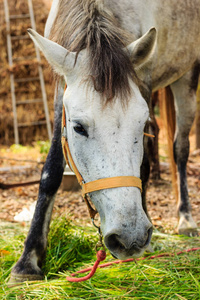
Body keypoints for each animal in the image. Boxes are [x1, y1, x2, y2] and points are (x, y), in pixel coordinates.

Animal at [10, 0, 198, 282]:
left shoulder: (144, 80)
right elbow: (51, 171)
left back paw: (185, 219)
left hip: (187, 79)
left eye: (141, 123)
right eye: (78, 128)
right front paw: (27, 262)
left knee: (180, 150)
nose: (130, 237)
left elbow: (144, 164)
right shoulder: (60, 90)